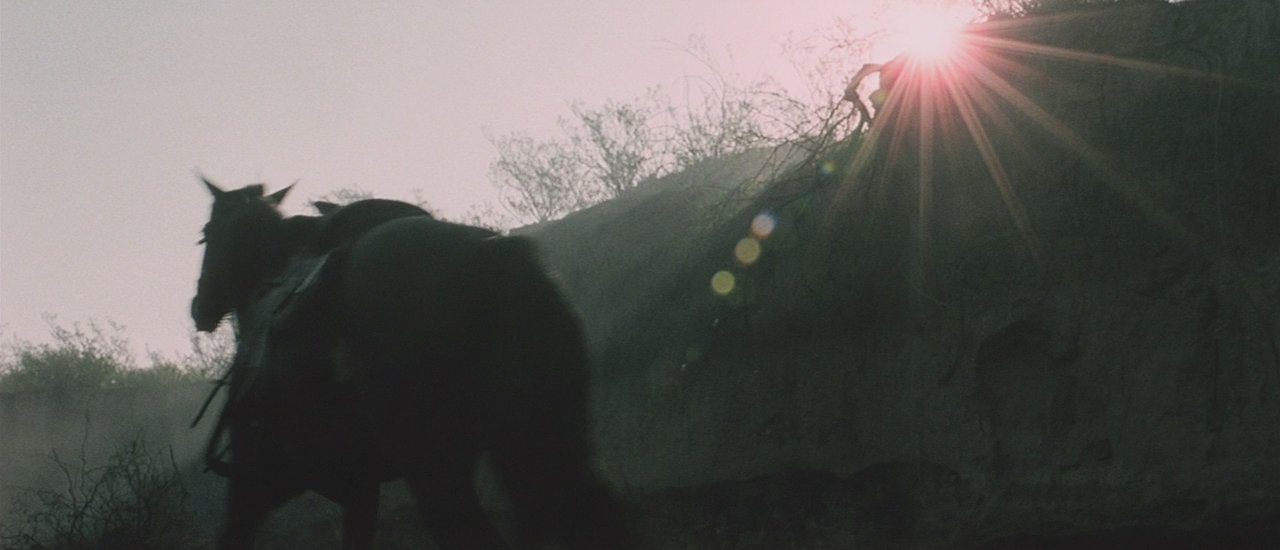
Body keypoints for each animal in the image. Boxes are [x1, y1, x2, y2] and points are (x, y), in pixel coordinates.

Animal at [191, 178, 627, 549]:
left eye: (206, 234)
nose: (199, 306)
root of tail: (493, 256)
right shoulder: (359, 491)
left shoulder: (259, 485)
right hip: (539, 443)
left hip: (436, 466)